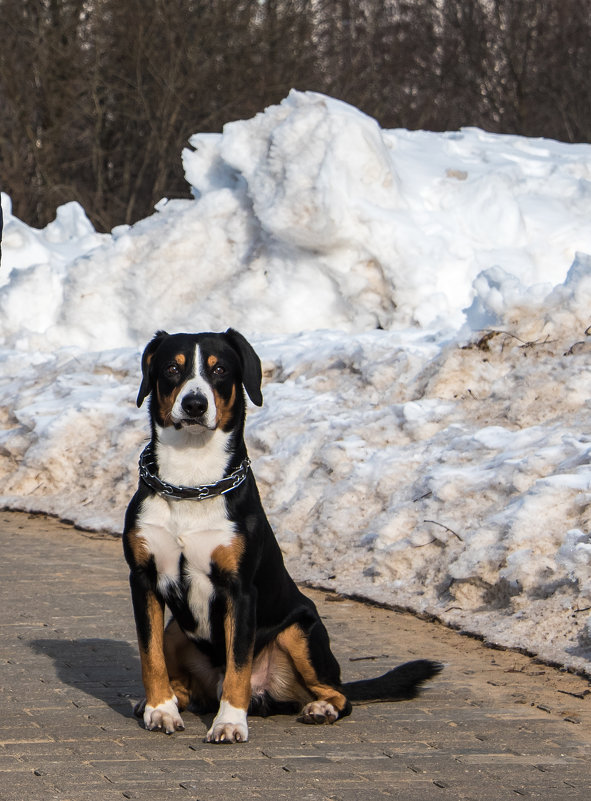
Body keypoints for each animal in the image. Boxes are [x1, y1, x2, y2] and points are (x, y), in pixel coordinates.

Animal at [122, 328, 442, 740]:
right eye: (172, 369)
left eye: (220, 370)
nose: (194, 404)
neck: (192, 484)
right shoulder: (143, 578)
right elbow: (151, 656)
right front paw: (160, 710)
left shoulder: (241, 589)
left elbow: (238, 665)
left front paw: (229, 723)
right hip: (178, 629)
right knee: (189, 684)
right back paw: (171, 700)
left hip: (299, 628)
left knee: (337, 693)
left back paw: (319, 708)